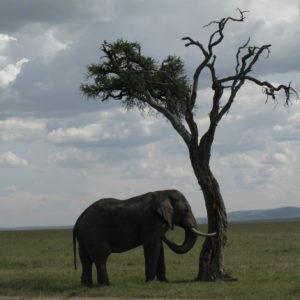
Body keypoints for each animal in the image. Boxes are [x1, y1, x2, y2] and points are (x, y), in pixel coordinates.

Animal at [72, 190, 213, 286]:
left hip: (84, 236)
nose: (166, 234)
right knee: (100, 257)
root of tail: (80, 216)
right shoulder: (150, 221)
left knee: (85, 259)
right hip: (94, 233)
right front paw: (150, 282)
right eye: (185, 209)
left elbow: (159, 249)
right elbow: (153, 247)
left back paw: (87, 286)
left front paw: (164, 282)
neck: (163, 192)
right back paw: (106, 285)